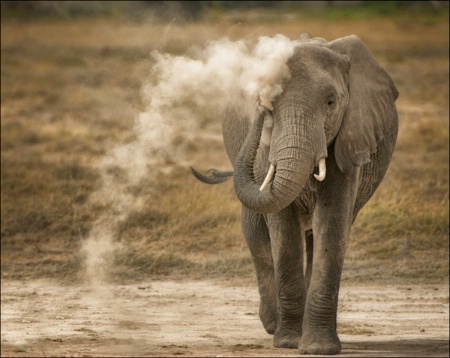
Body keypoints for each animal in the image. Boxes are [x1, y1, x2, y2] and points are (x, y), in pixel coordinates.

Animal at [190, 33, 398, 356]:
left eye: (330, 102)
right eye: (268, 105)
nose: (260, 106)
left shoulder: (351, 137)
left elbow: (333, 222)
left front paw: (317, 348)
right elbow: (281, 228)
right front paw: (287, 342)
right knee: (256, 234)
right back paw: (273, 325)